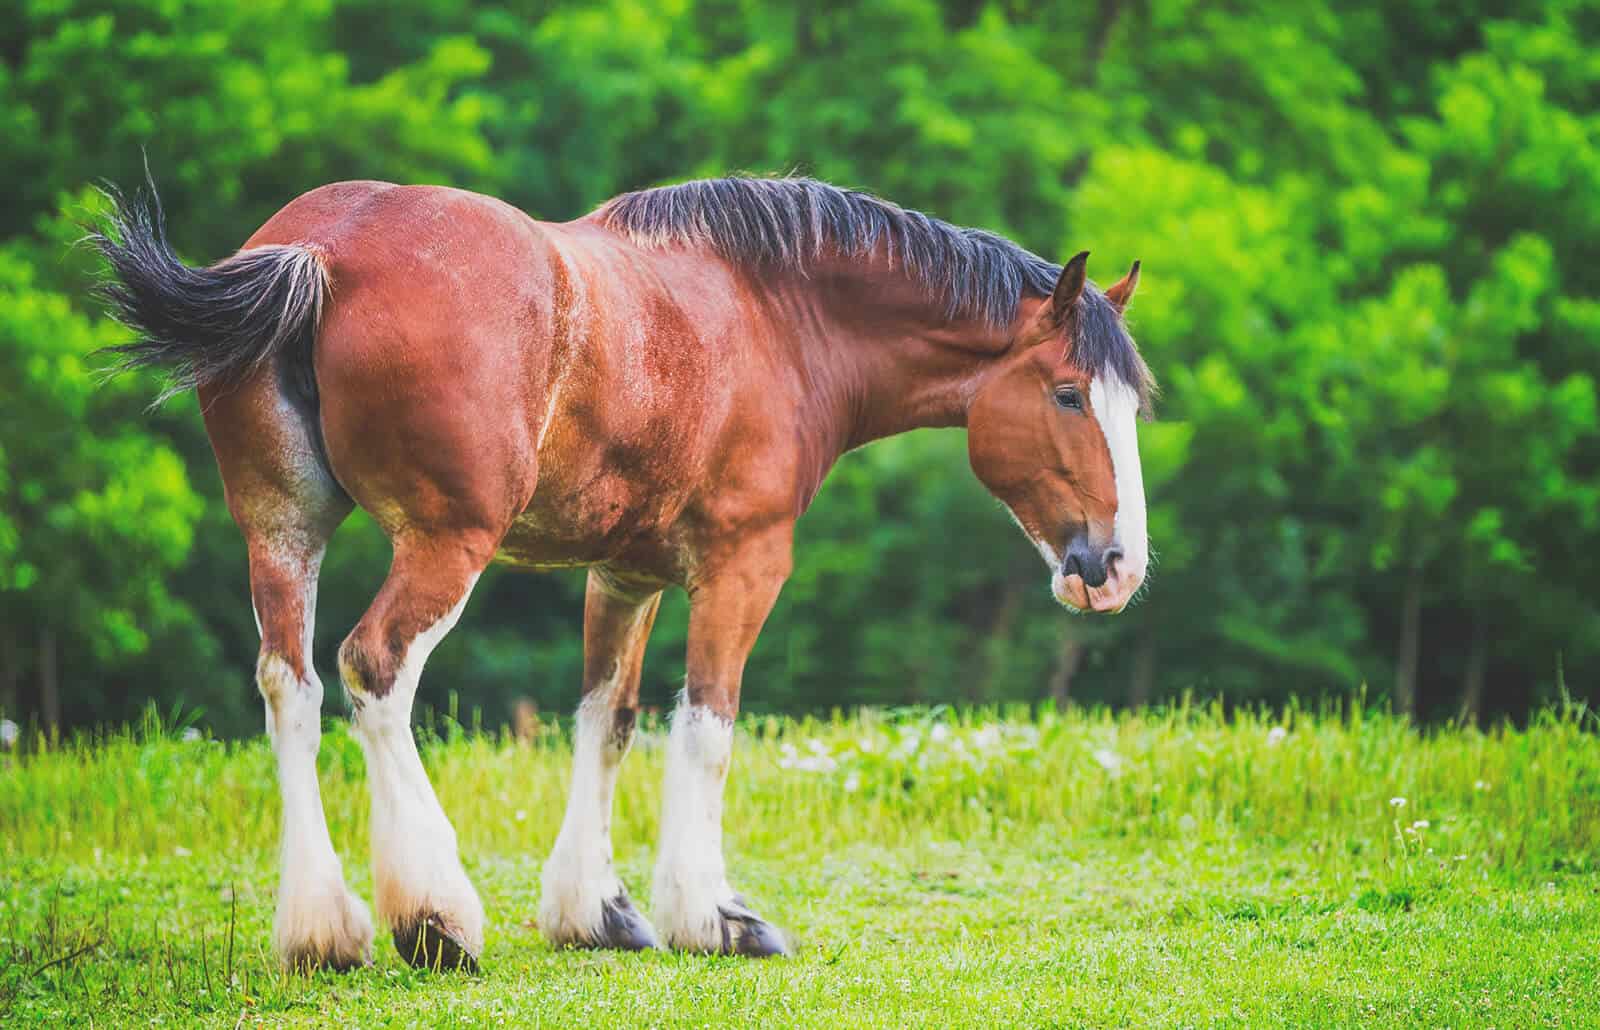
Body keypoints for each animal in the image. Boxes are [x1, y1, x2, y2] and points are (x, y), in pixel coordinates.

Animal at [93, 174, 1154, 972]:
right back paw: (434, 917)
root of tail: (323, 249)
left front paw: (594, 911)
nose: (1114, 566)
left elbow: (608, 720)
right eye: (1068, 394)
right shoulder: (741, 567)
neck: (774, 317)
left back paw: (321, 930)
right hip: (444, 543)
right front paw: (712, 916)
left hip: (281, 532)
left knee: (292, 685)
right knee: (374, 668)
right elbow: (708, 726)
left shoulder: (623, 576)